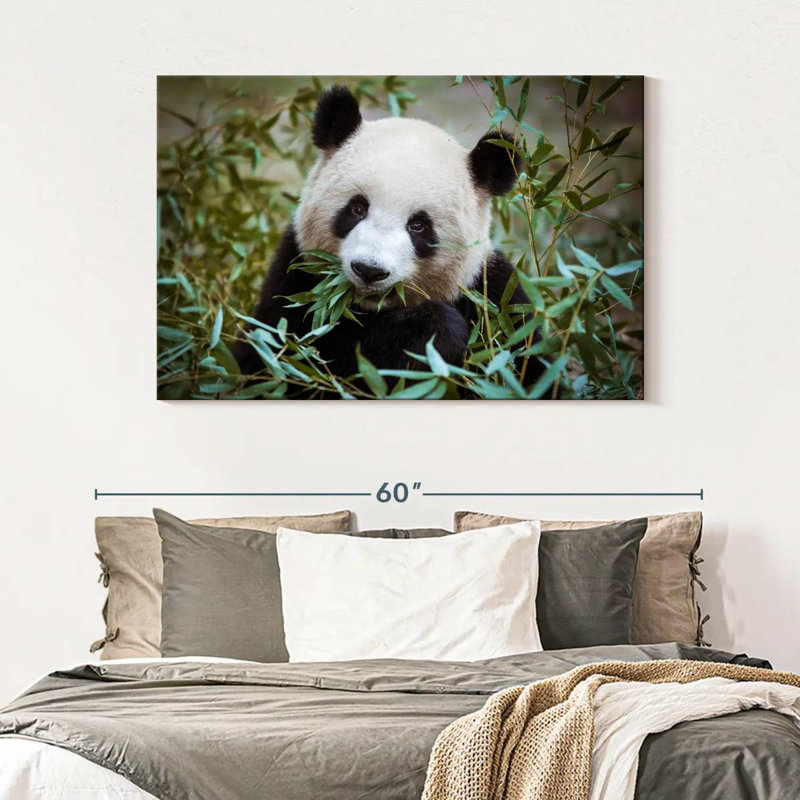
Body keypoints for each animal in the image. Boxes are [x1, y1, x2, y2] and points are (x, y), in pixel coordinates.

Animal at [235, 85, 545, 393]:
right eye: (357, 208)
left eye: (418, 225)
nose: (369, 270)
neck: (371, 309)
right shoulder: (296, 280)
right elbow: (294, 360)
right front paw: (437, 333)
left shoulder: (497, 298)